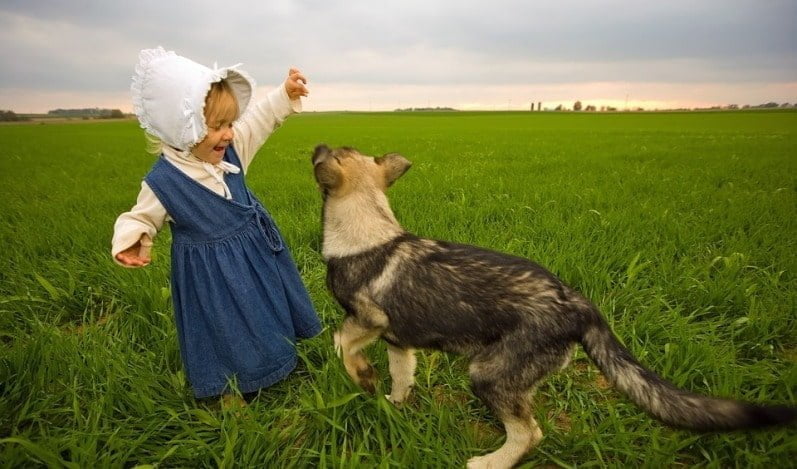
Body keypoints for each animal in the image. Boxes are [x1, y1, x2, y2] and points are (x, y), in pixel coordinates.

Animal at [308, 144, 792, 466]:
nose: (317, 144)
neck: (367, 227)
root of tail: (578, 304)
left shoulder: (368, 318)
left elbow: (340, 343)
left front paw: (360, 376)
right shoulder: (397, 339)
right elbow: (401, 376)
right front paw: (389, 400)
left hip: (488, 373)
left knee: (529, 434)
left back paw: (490, 462)